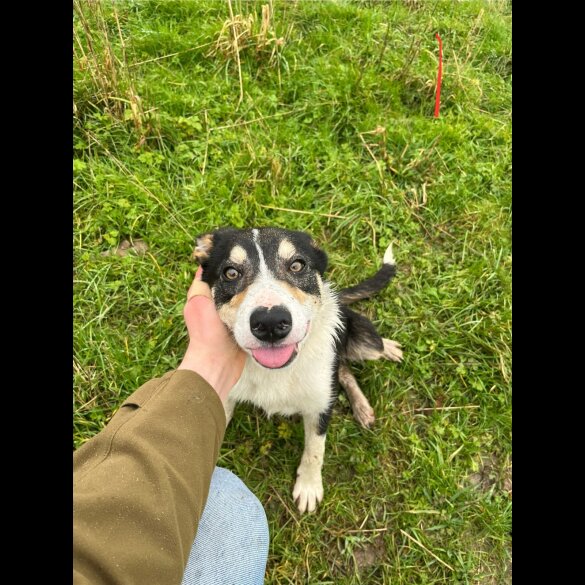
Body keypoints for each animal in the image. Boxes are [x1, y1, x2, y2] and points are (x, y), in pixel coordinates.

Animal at [194, 226, 404, 512]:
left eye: (297, 265)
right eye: (231, 272)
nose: (270, 322)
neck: (276, 372)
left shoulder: (320, 405)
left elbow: (315, 450)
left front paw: (309, 487)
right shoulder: (222, 396)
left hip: (364, 340)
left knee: (354, 359)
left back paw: (386, 355)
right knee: (343, 368)